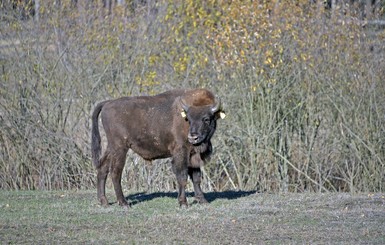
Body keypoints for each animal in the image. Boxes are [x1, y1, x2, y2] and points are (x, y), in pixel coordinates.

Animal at [91, 88, 224, 207]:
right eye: (188, 119)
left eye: (206, 119)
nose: (193, 137)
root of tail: (108, 103)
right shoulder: (181, 153)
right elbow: (182, 177)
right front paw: (183, 203)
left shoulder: (193, 156)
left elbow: (196, 178)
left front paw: (203, 201)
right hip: (120, 148)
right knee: (115, 172)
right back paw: (124, 203)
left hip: (112, 148)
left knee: (103, 169)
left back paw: (104, 202)